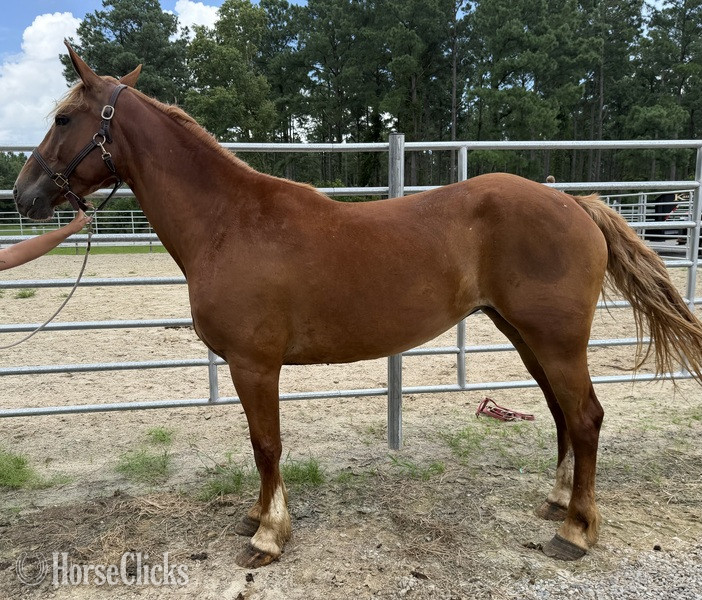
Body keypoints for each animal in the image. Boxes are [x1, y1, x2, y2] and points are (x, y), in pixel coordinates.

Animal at [13, 44, 702, 568]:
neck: (230, 223)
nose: (24, 195)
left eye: (66, 117)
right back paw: (558, 503)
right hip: (526, 337)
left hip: (555, 340)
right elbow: (262, 447)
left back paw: (576, 532)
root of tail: (574, 203)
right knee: (562, 415)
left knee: (584, 418)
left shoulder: (254, 365)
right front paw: (256, 518)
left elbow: (266, 444)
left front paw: (269, 535)